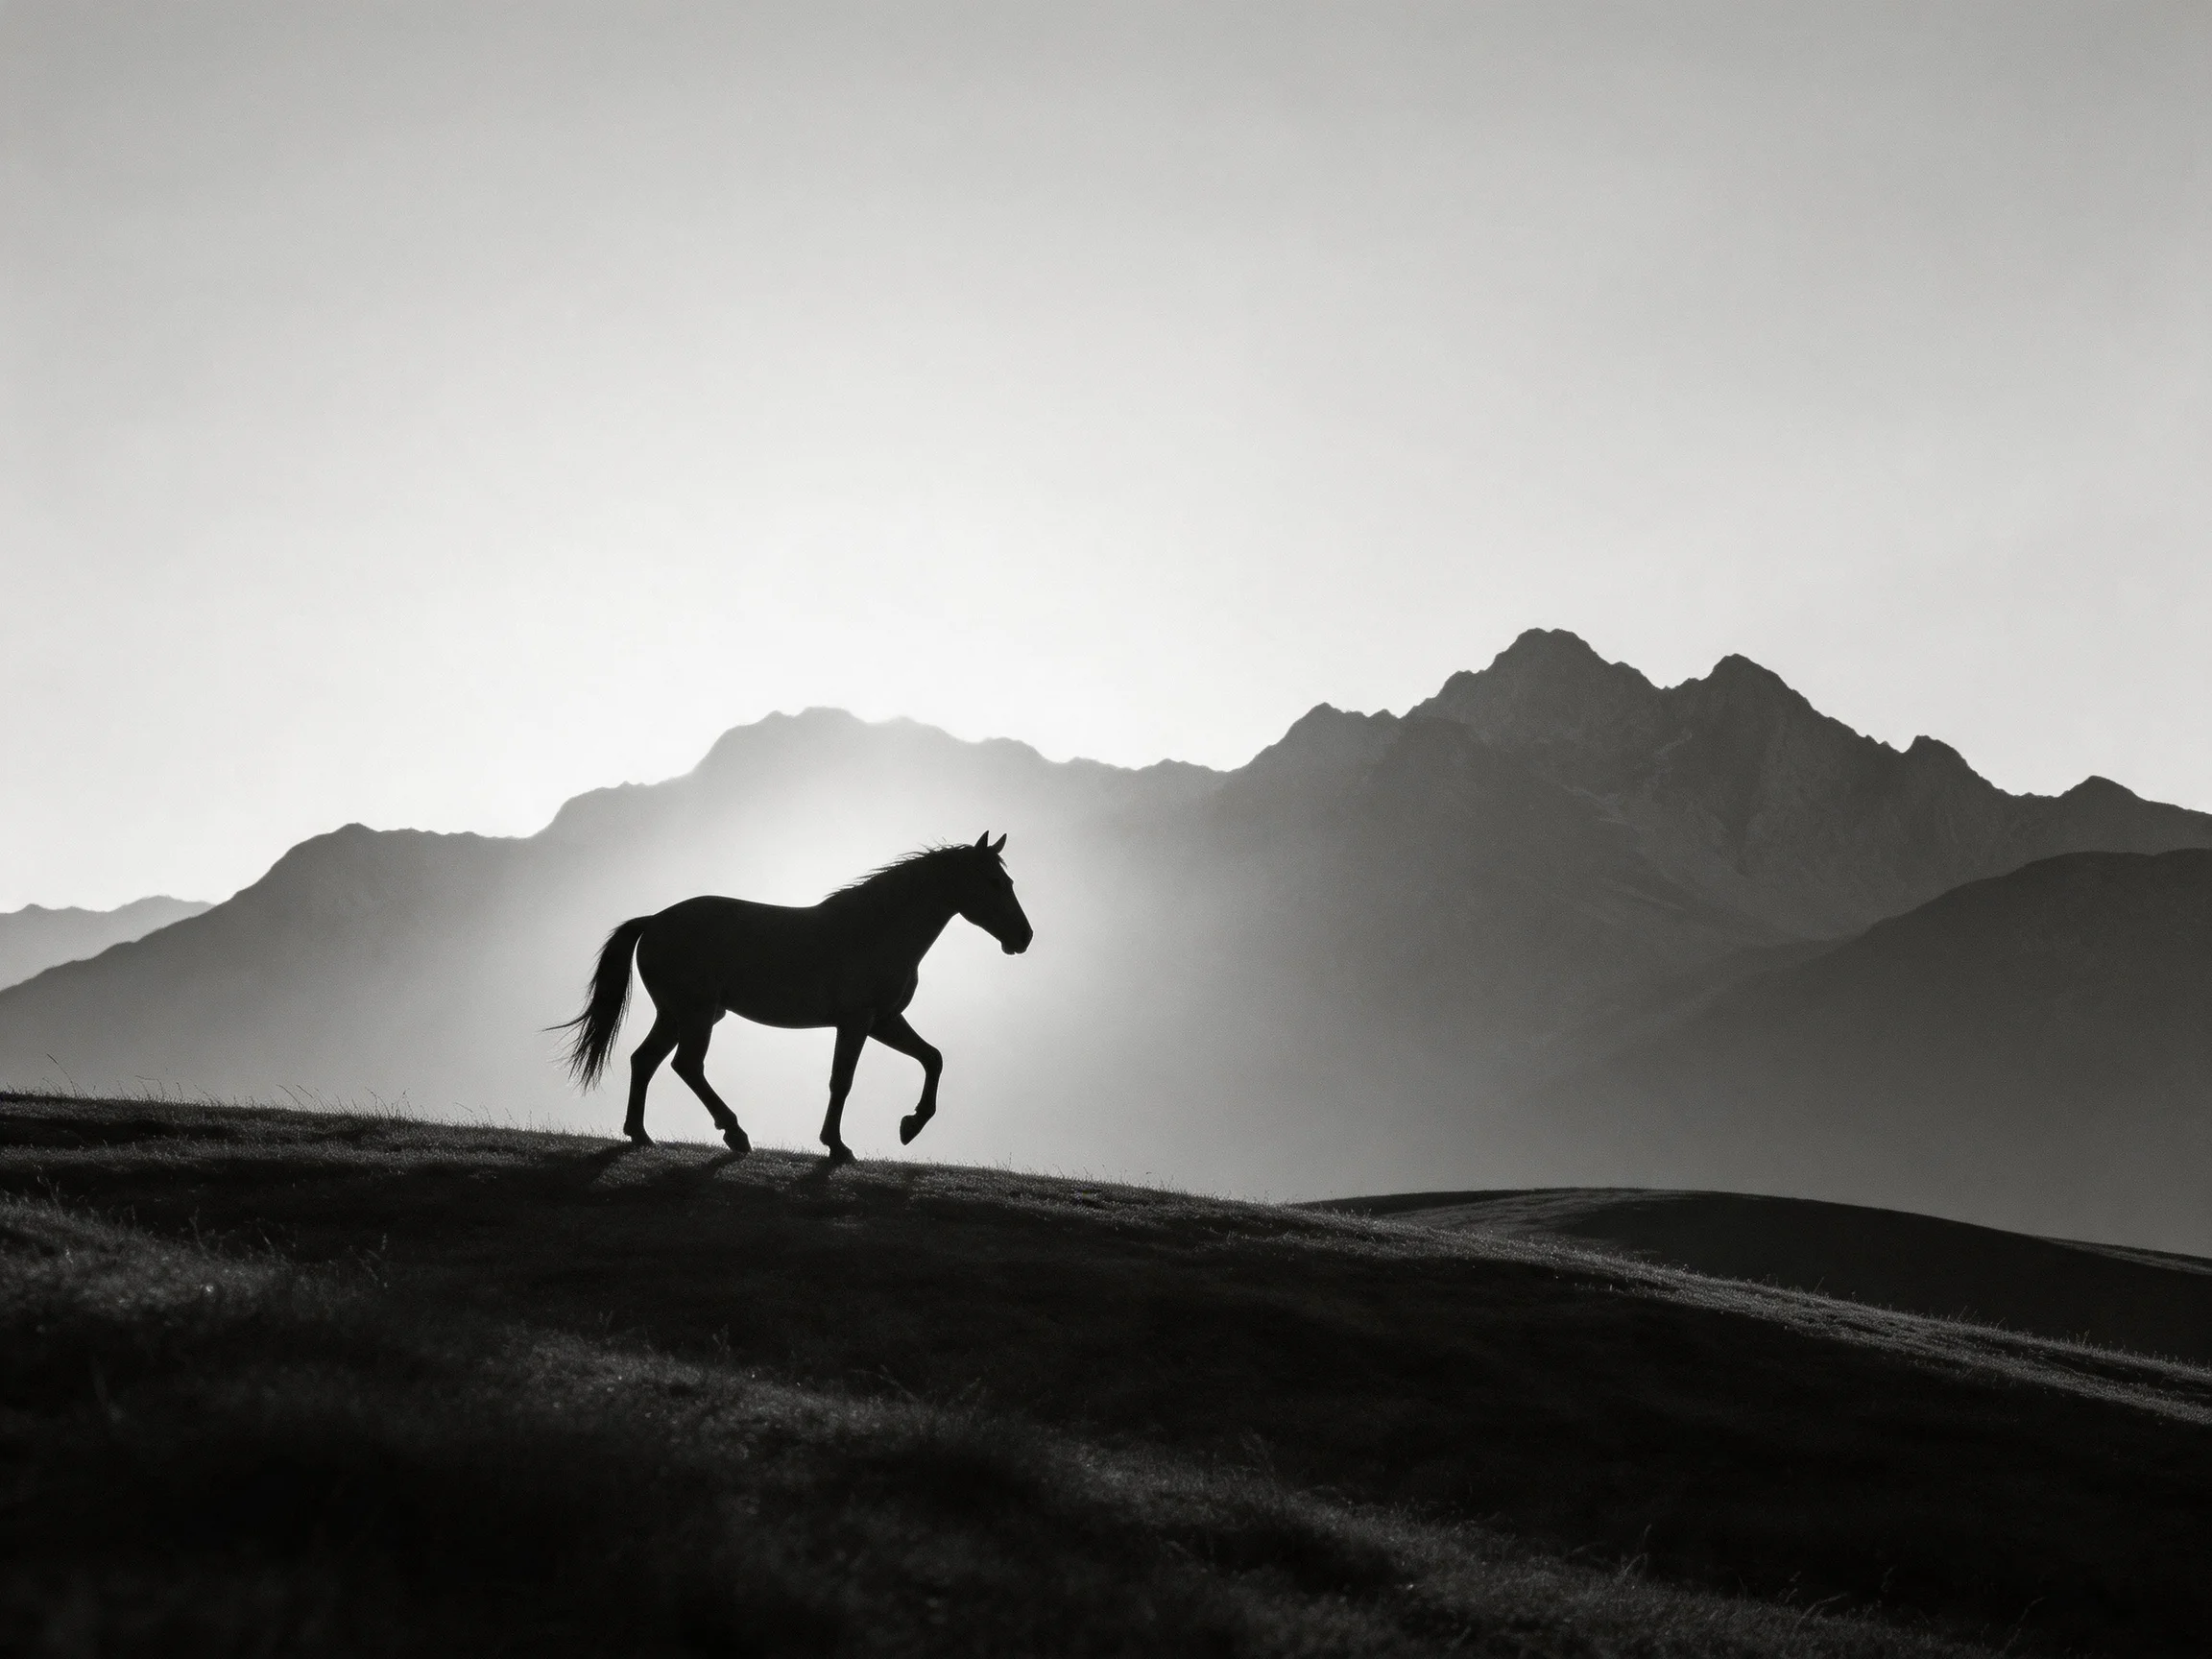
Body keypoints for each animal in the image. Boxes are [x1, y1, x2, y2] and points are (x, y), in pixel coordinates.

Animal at [554, 833, 1033, 1164]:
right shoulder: (857, 1022)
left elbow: (933, 1058)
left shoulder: (883, 1021)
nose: (1023, 937)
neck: (874, 930)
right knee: (685, 1065)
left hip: (676, 1014)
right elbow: (842, 1081)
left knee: (645, 1061)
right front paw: (837, 1146)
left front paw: (910, 1126)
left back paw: (641, 1134)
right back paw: (735, 1134)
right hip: (697, 1014)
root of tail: (654, 920)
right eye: (995, 882)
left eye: (1008, 880)